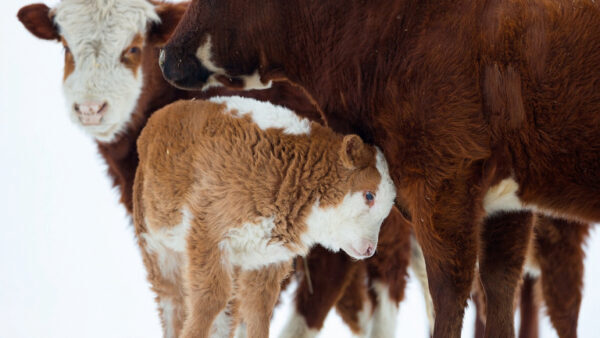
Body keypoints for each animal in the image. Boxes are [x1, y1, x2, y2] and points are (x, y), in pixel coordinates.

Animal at [136, 97, 398, 338]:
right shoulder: (208, 233)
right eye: (369, 195)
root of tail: (154, 122)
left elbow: (258, 311)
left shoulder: (266, 259)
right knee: (174, 302)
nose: (369, 249)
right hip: (157, 248)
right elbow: (209, 300)